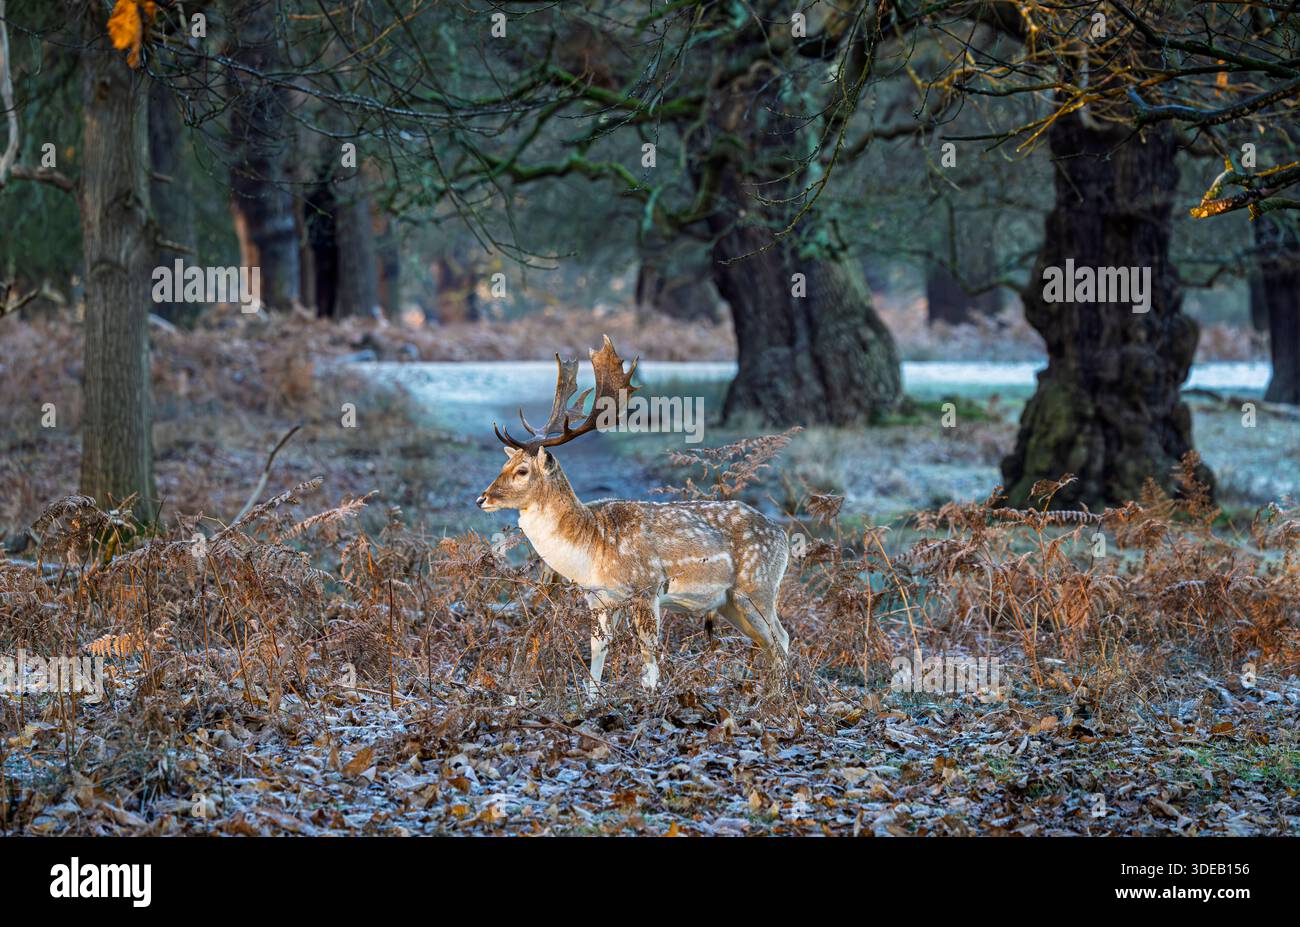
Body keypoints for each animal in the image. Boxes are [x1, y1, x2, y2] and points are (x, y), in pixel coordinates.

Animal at [476, 335, 791, 697]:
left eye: (522, 471)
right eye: (504, 464)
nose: (482, 498)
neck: (592, 546)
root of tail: (783, 536)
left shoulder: (647, 586)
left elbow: (648, 653)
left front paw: (651, 696)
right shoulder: (599, 598)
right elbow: (598, 648)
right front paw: (593, 698)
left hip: (758, 586)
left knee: (781, 638)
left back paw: (782, 698)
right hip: (729, 602)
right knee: (770, 643)